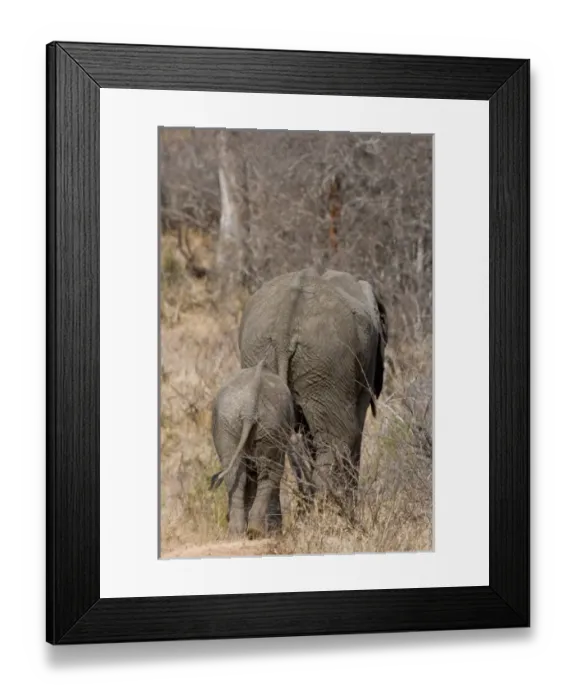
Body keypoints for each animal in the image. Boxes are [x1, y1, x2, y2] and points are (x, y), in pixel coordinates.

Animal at [209, 359, 296, 538]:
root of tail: (250, 403)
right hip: (270, 423)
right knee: (270, 471)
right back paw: (256, 531)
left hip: (229, 420)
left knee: (235, 471)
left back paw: (237, 533)